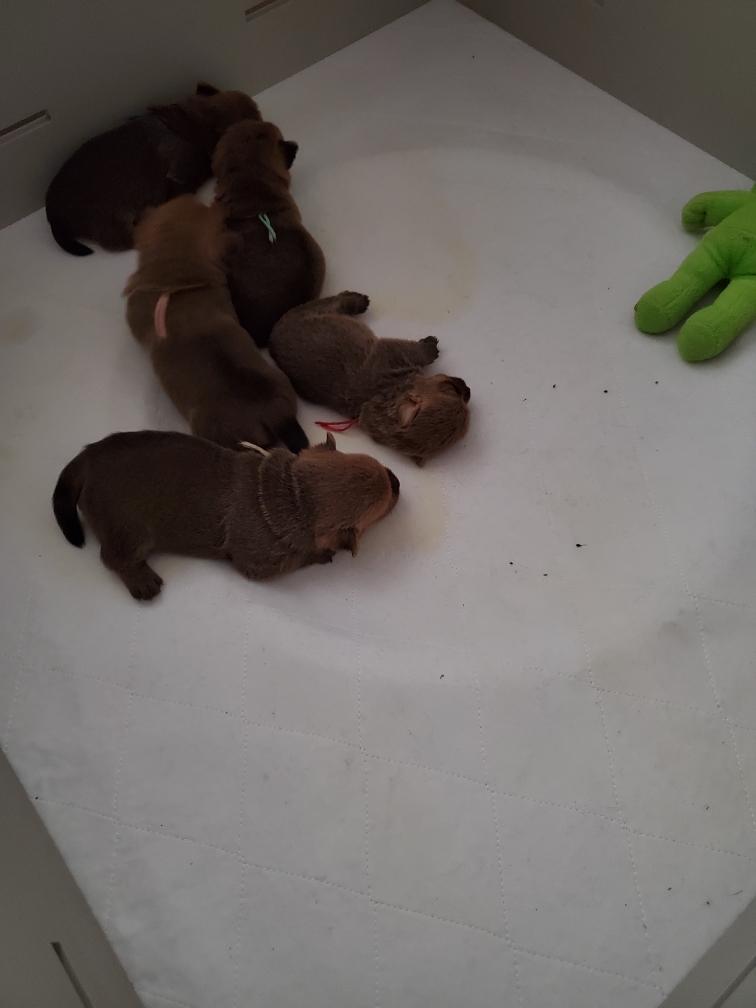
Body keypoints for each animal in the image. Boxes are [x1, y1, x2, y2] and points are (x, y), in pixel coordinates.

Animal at [52, 430, 400, 600]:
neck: (289, 493)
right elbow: (296, 557)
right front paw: (322, 554)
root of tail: (85, 459)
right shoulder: (259, 562)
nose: (396, 480)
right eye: (382, 505)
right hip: (127, 530)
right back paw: (143, 582)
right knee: (113, 558)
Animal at [269, 293, 471, 465]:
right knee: (333, 302)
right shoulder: (394, 351)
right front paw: (430, 347)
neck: (387, 391)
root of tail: (272, 341)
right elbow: (417, 351)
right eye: (450, 388)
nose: (468, 389)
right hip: (314, 313)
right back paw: (358, 300)